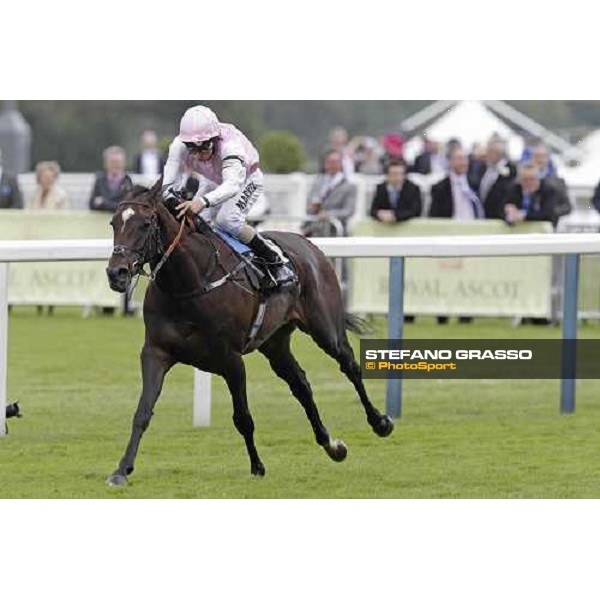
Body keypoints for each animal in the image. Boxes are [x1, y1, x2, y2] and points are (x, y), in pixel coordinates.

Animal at [104, 177, 394, 482]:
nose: (116, 273)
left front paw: (257, 466)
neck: (189, 284)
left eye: (146, 223)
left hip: (326, 329)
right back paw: (331, 445)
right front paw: (122, 469)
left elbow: (242, 417)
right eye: (113, 223)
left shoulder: (231, 360)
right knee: (301, 385)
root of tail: (309, 243)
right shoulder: (155, 352)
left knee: (349, 365)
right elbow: (142, 411)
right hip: (275, 343)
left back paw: (380, 422)